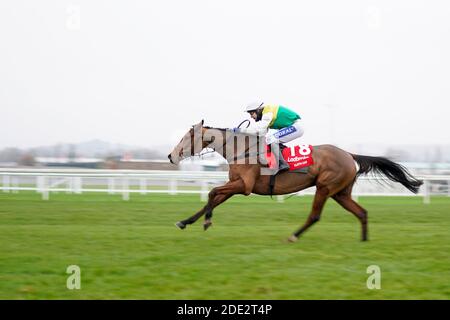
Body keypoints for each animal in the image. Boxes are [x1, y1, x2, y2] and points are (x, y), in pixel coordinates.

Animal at [168, 120, 422, 242]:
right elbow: (212, 199)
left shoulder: (245, 186)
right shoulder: (235, 186)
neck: (242, 150)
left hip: (325, 187)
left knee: (315, 215)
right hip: (341, 193)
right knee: (362, 212)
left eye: (186, 138)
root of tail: (349, 155)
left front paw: (207, 222)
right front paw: (185, 221)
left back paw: (294, 236)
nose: (171, 156)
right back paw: (364, 241)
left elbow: (212, 193)